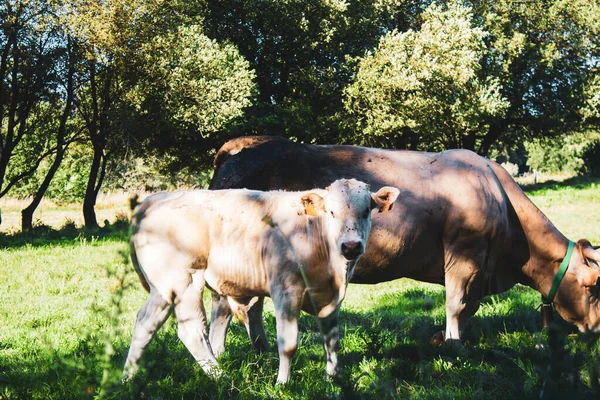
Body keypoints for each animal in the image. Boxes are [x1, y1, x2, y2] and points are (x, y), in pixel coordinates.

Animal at [123, 180, 398, 382]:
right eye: (331, 212)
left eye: (367, 211)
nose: (351, 246)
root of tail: (156, 198)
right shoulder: (285, 290)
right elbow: (288, 343)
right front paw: (282, 383)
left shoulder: (331, 296)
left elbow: (332, 340)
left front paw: (335, 379)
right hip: (184, 282)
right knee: (192, 331)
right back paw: (222, 378)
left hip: (162, 288)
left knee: (146, 322)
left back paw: (128, 377)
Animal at [207, 134, 600, 354]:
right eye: (591, 286)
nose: (594, 329)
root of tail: (244, 146)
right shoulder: (464, 255)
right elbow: (457, 304)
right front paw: (454, 346)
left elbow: (468, 308)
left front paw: (443, 339)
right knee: (229, 308)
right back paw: (231, 354)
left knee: (247, 307)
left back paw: (253, 350)